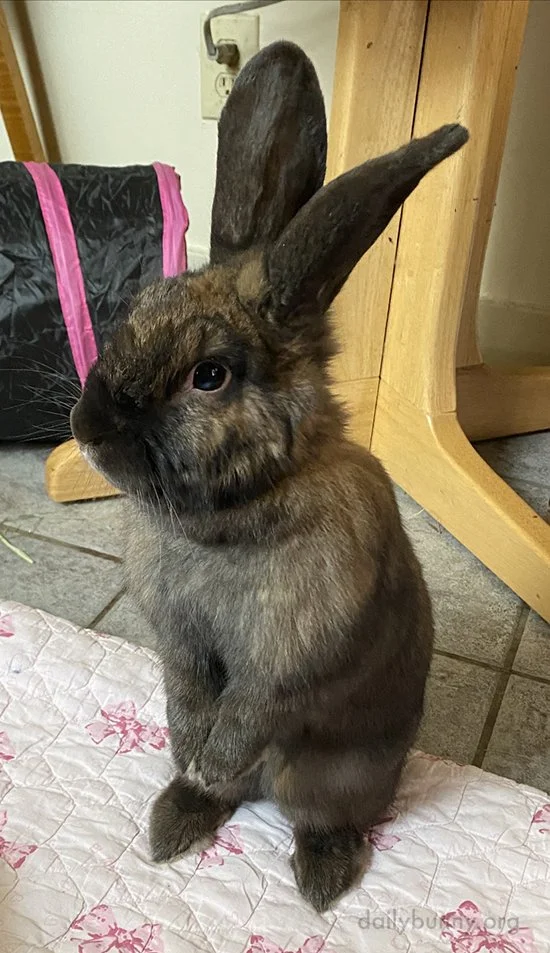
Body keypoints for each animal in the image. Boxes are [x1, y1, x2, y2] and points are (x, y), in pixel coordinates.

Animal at [70, 41, 468, 912]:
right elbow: (189, 697)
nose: (87, 428)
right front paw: (190, 754)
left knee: (320, 813)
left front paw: (208, 754)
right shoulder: (181, 645)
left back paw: (319, 878)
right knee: (226, 796)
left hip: (327, 776)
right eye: (136, 310)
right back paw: (172, 820)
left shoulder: (284, 665)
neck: (237, 511)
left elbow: (247, 712)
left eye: (210, 375)